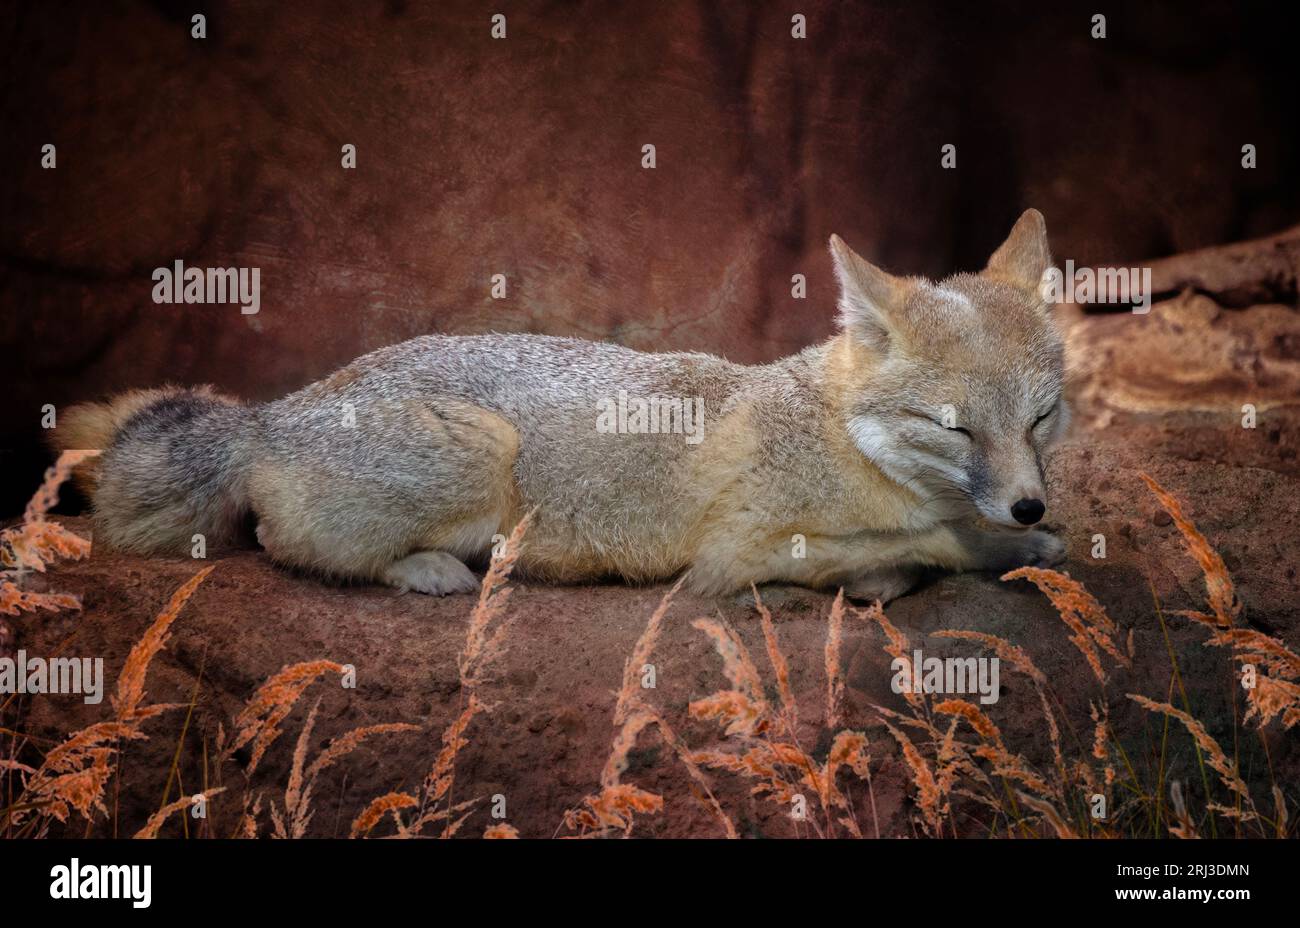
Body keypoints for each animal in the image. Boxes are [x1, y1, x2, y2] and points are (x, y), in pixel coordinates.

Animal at [53, 209, 1068, 603]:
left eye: (1042, 417)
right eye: (954, 428)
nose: (1030, 504)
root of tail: (270, 413)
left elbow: (921, 540)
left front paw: (1015, 542)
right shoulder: (735, 551)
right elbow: (927, 543)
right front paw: (996, 549)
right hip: (484, 453)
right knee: (286, 544)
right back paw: (426, 568)